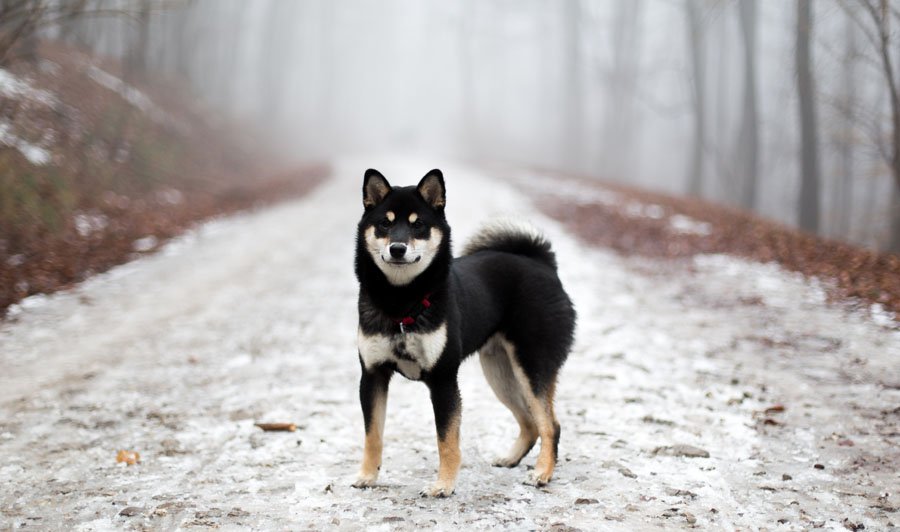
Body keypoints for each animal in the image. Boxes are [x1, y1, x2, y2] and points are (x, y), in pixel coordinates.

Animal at [348, 168, 572, 496]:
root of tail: (542, 265)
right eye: (385, 223)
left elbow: (446, 440)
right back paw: (511, 458)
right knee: (530, 423)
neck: (402, 301)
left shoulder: (442, 380)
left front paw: (443, 484)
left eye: (418, 225)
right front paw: (367, 475)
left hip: (532, 367)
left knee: (550, 425)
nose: (397, 248)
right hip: (500, 372)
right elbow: (372, 435)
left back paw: (542, 473)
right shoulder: (373, 375)